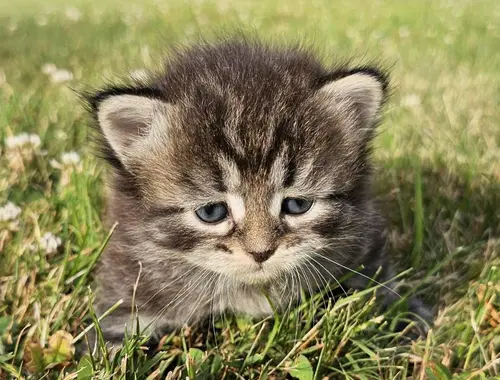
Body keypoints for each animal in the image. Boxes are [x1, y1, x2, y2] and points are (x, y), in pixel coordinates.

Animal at [86, 37, 430, 344]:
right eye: (211, 212)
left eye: (297, 205)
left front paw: (408, 318)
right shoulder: (130, 280)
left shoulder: (366, 245)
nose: (260, 252)